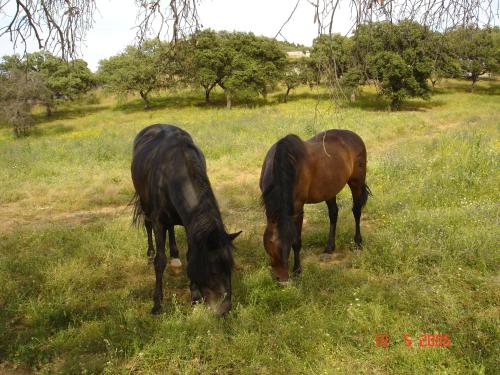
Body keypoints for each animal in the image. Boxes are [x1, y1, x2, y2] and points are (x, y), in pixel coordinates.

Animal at [131, 125, 240, 316]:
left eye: (230, 267)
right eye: (213, 270)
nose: (225, 309)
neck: (172, 171)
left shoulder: (191, 226)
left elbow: (190, 255)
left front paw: (195, 297)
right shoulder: (158, 221)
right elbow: (160, 260)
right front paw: (157, 304)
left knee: (171, 228)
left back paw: (175, 257)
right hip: (145, 204)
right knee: (148, 224)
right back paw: (150, 254)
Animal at [260, 131, 370, 284]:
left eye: (286, 246)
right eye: (269, 246)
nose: (281, 279)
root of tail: (355, 136)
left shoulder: (298, 210)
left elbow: (297, 241)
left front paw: (297, 270)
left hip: (356, 182)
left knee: (357, 211)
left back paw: (358, 243)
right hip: (330, 189)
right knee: (333, 214)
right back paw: (329, 248)